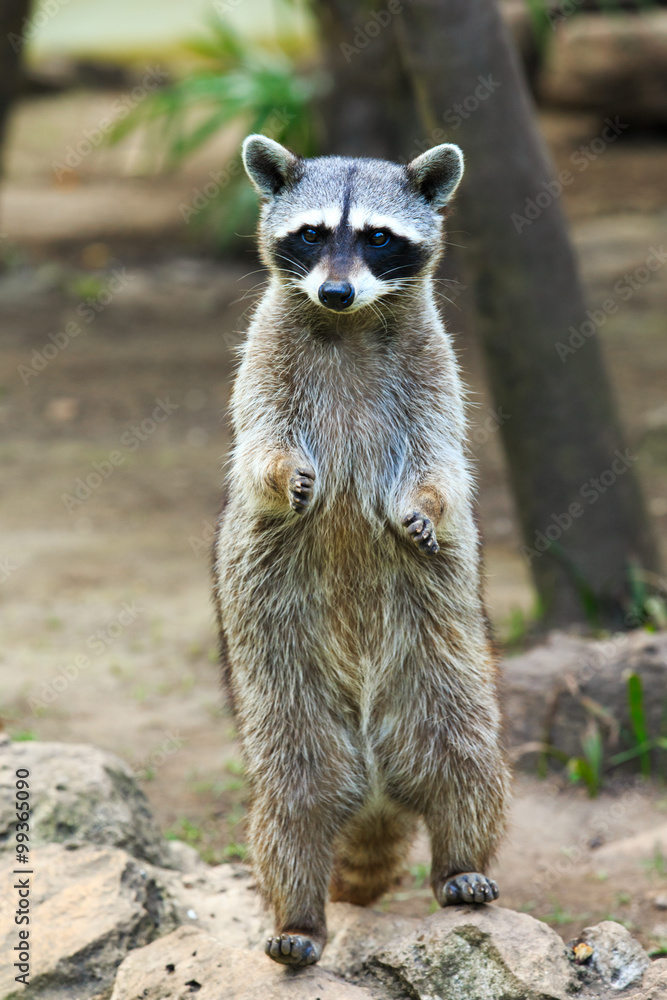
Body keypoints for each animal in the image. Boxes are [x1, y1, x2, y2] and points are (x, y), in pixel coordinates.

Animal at [211, 134, 511, 968]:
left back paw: (461, 863)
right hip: (282, 699)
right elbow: (259, 445)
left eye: (377, 237)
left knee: (467, 769)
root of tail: (375, 785)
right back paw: (298, 914)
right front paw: (281, 475)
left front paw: (425, 503)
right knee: (289, 810)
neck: (346, 324)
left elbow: (441, 460)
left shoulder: (435, 365)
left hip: (444, 677)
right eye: (312, 233)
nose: (337, 292)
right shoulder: (263, 358)